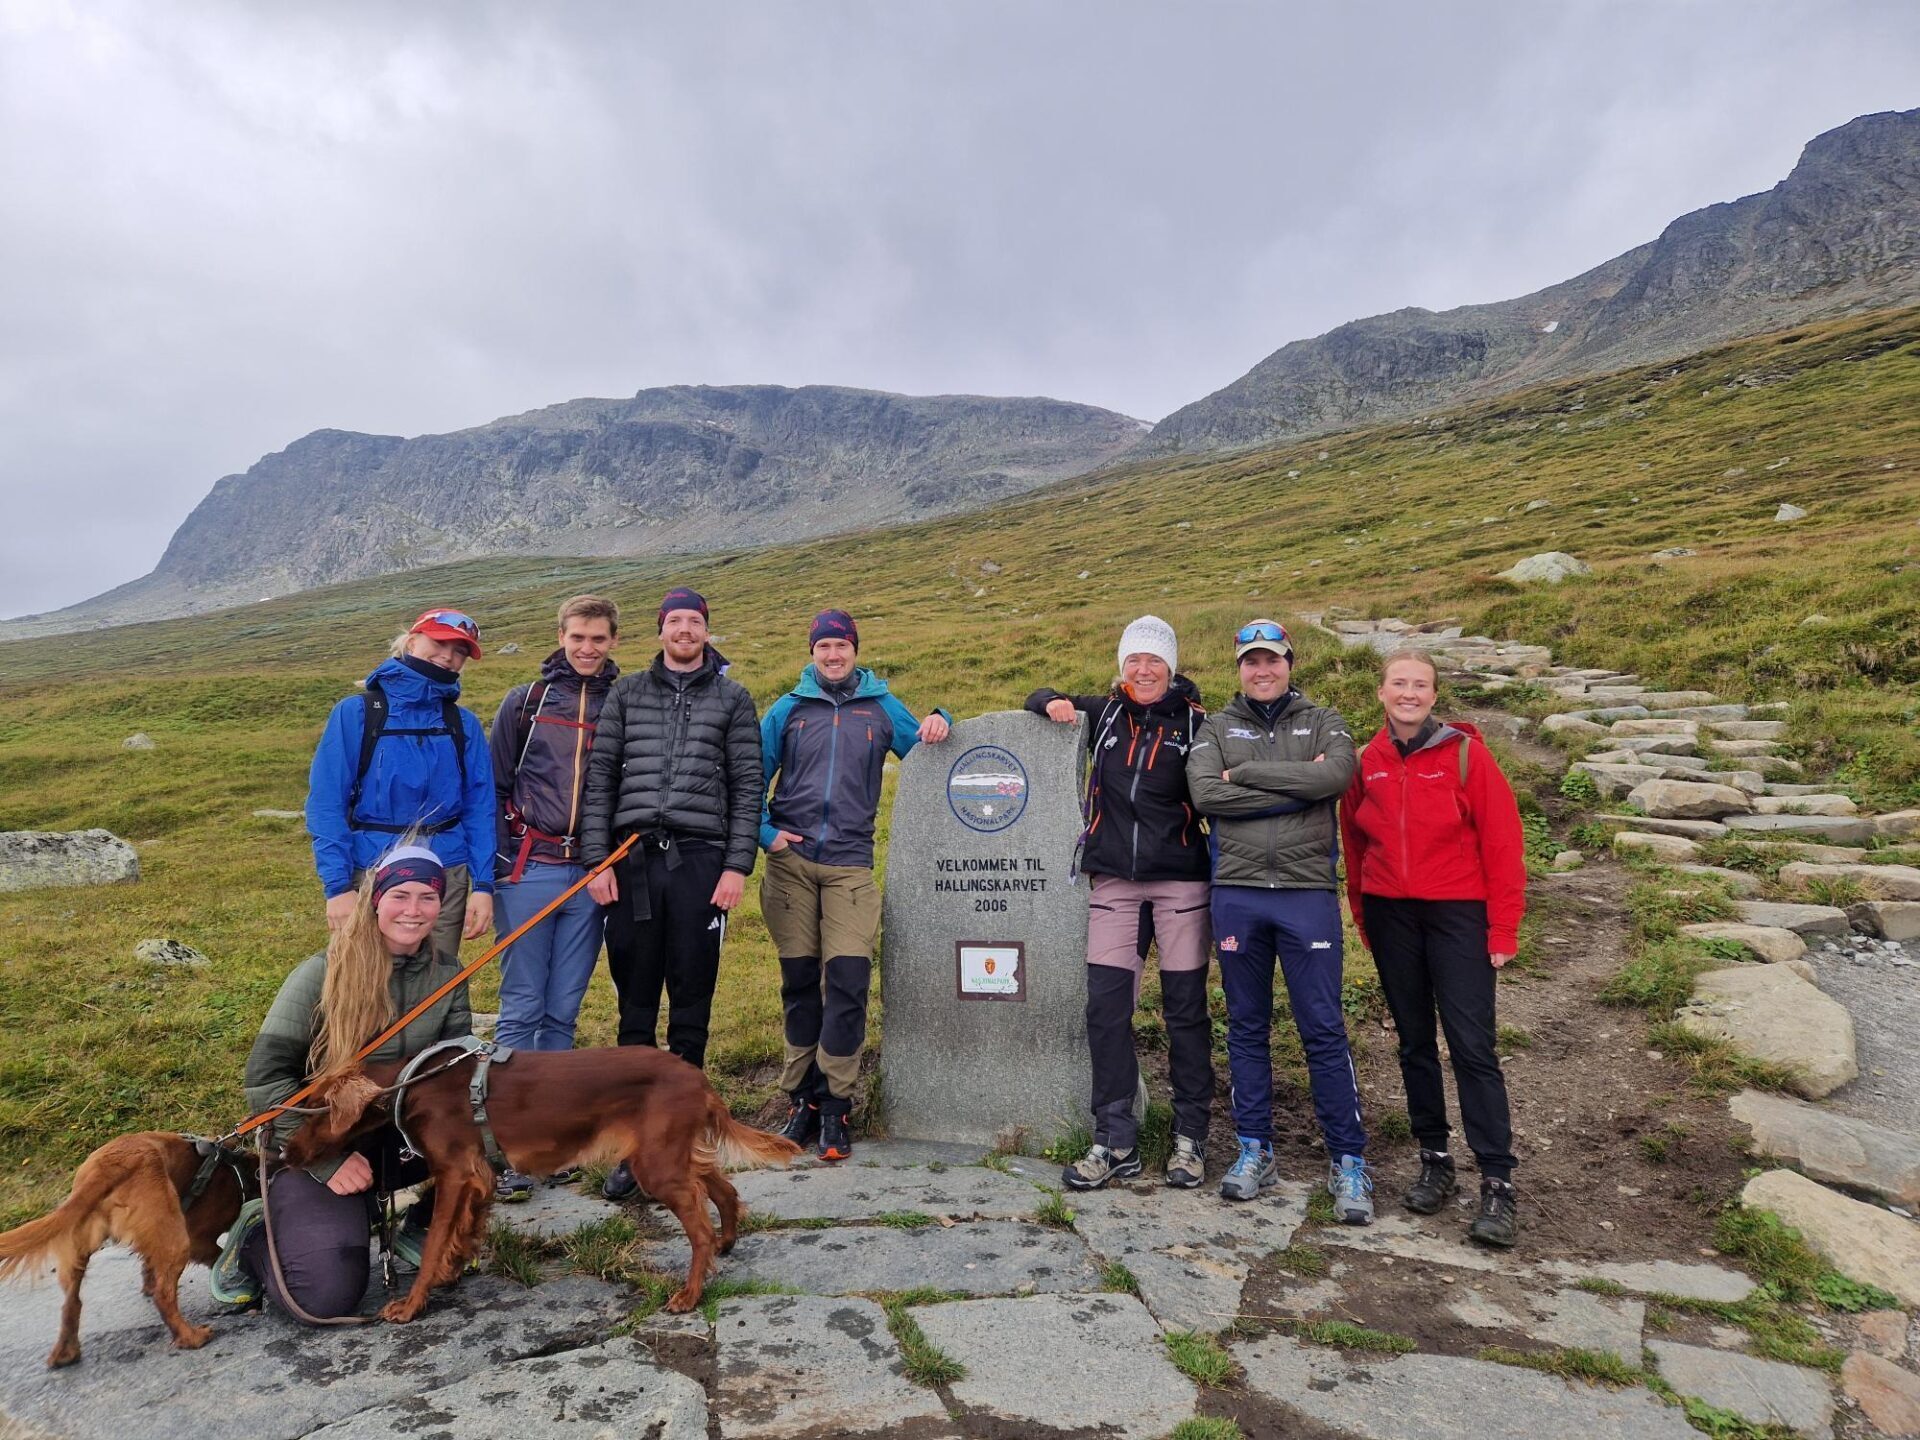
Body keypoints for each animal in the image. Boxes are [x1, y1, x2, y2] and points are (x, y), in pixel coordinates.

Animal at [0, 1136, 251, 1367]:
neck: (242, 1175)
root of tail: (108, 1166)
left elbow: (148, 1264)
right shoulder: (198, 1238)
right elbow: (221, 1258)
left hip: (80, 1245)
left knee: (71, 1303)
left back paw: (65, 1353)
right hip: (177, 1238)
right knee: (164, 1295)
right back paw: (191, 1337)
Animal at [280, 1044, 798, 1328]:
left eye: (310, 1112)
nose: (284, 1153)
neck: (412, 1082)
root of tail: (699, 1078)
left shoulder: (455, 1172)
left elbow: (435, 1243)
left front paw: (410, 1304)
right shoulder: (479, 1176)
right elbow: (461, 1234)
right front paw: (450, 1273)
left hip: (657, 1165)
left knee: (700, 1229)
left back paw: (690, 1294)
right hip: (671, 1155)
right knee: (724, 1190)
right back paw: (727, 1243)